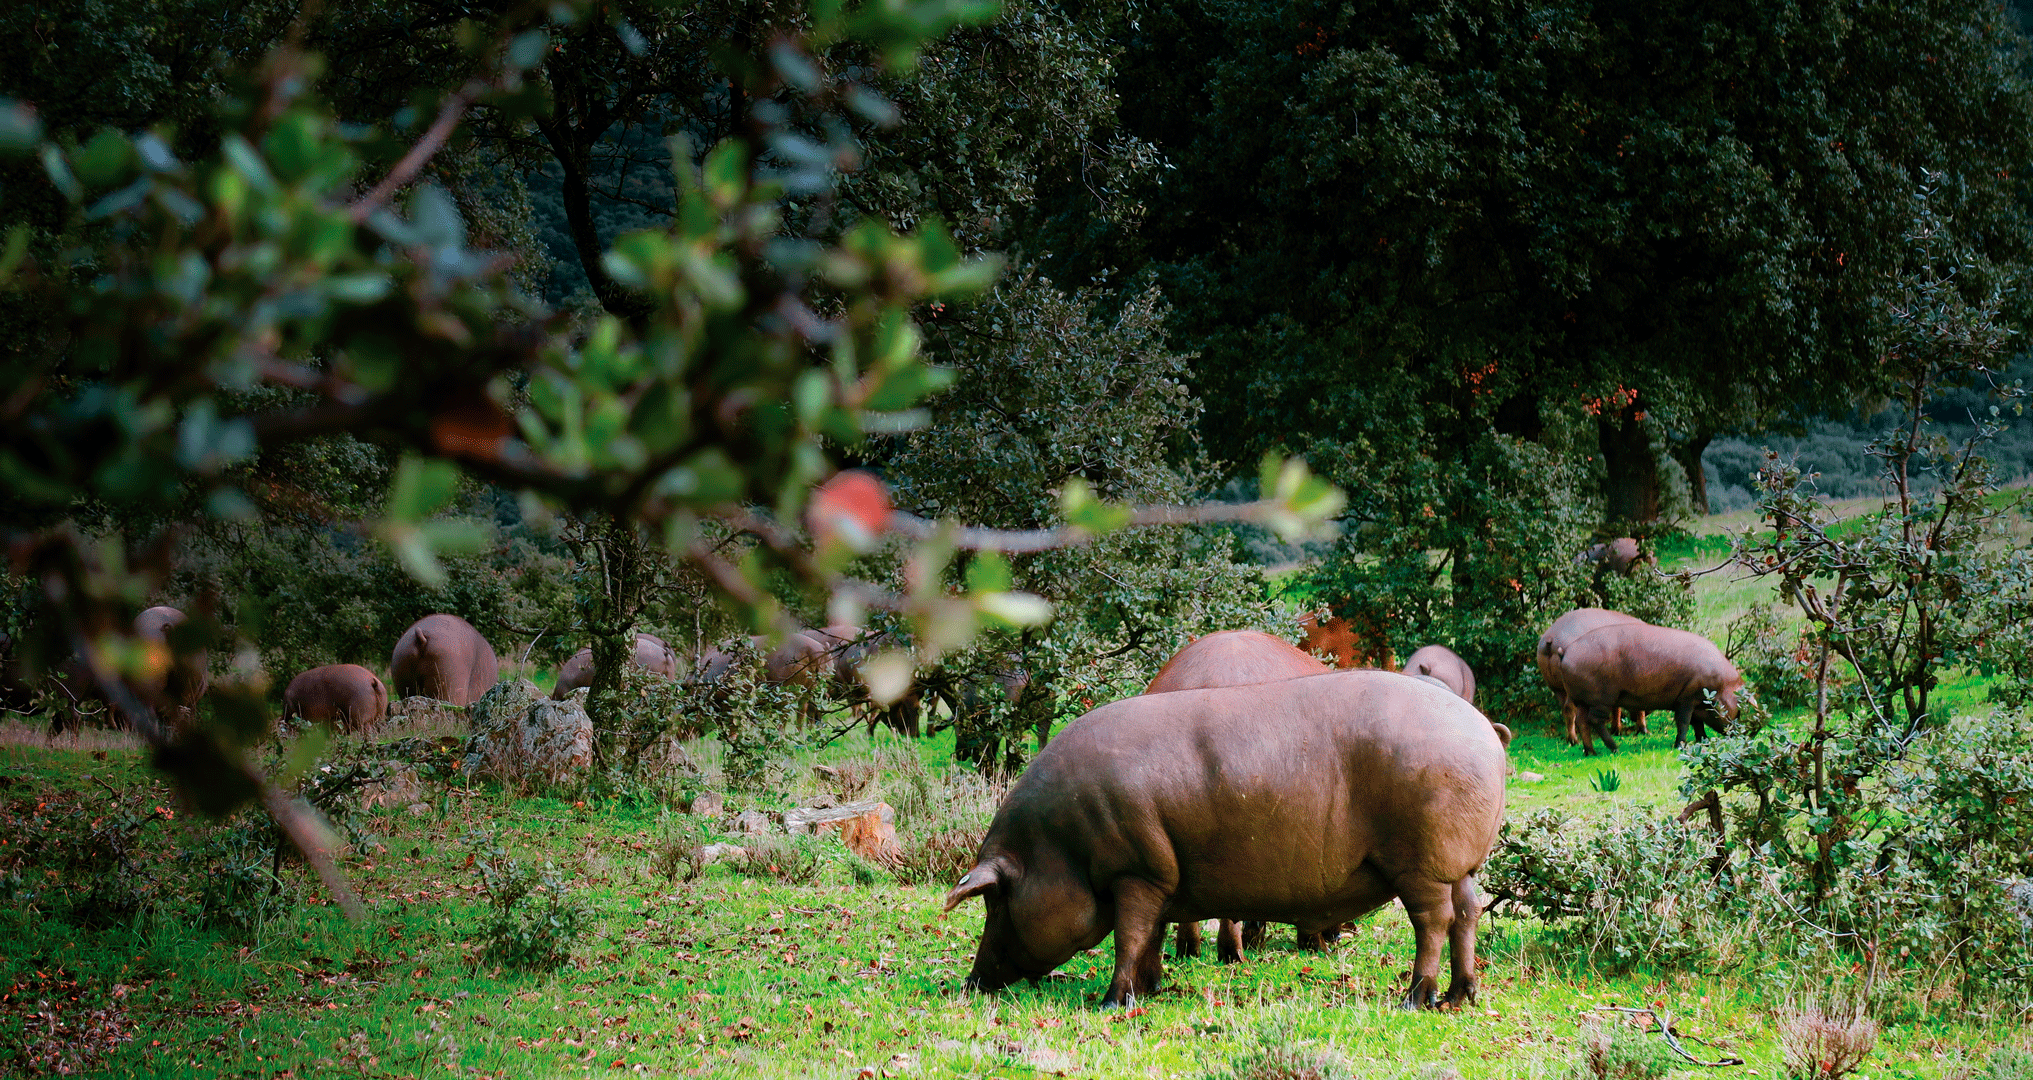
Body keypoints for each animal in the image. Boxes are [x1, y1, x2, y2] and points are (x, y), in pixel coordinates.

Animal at [943, 671, 1504, 1008]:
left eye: (996, 899)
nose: (970, 983)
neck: (1061, 846)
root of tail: (1486, 733)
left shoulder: (1135, 871)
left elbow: (1129, 936)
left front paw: (1112, 1002)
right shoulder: (1160, 879)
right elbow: (1151, 937)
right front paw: (1151, 990)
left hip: (1422, 862)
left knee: (1434, 920)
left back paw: (1415, 998)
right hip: (1462, 863)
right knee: (1468, 912)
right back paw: (1462, 997)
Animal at [1528, 606, 1642, 748]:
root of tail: (1550, 638)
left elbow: (1617, 707)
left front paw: (1617, 731)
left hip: (1556, 687)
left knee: (1564, 709)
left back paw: (1571, 740)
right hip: (1571, 688)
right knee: (1570, 709)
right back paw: (1574, 741)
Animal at [1545, 622, 1740, 756]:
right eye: (1739, 707)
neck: (1721, 686)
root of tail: (1565, 652)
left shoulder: (1693, 702)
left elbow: (1696, 723)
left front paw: (1703, 741)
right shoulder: (1687, 698)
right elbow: (1684, 722)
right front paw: (1679, 746)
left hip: (1581, 699)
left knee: (1582, 721)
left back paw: (1591, 752)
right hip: (1601, 698)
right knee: (1595, 721)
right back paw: (1615, 749)